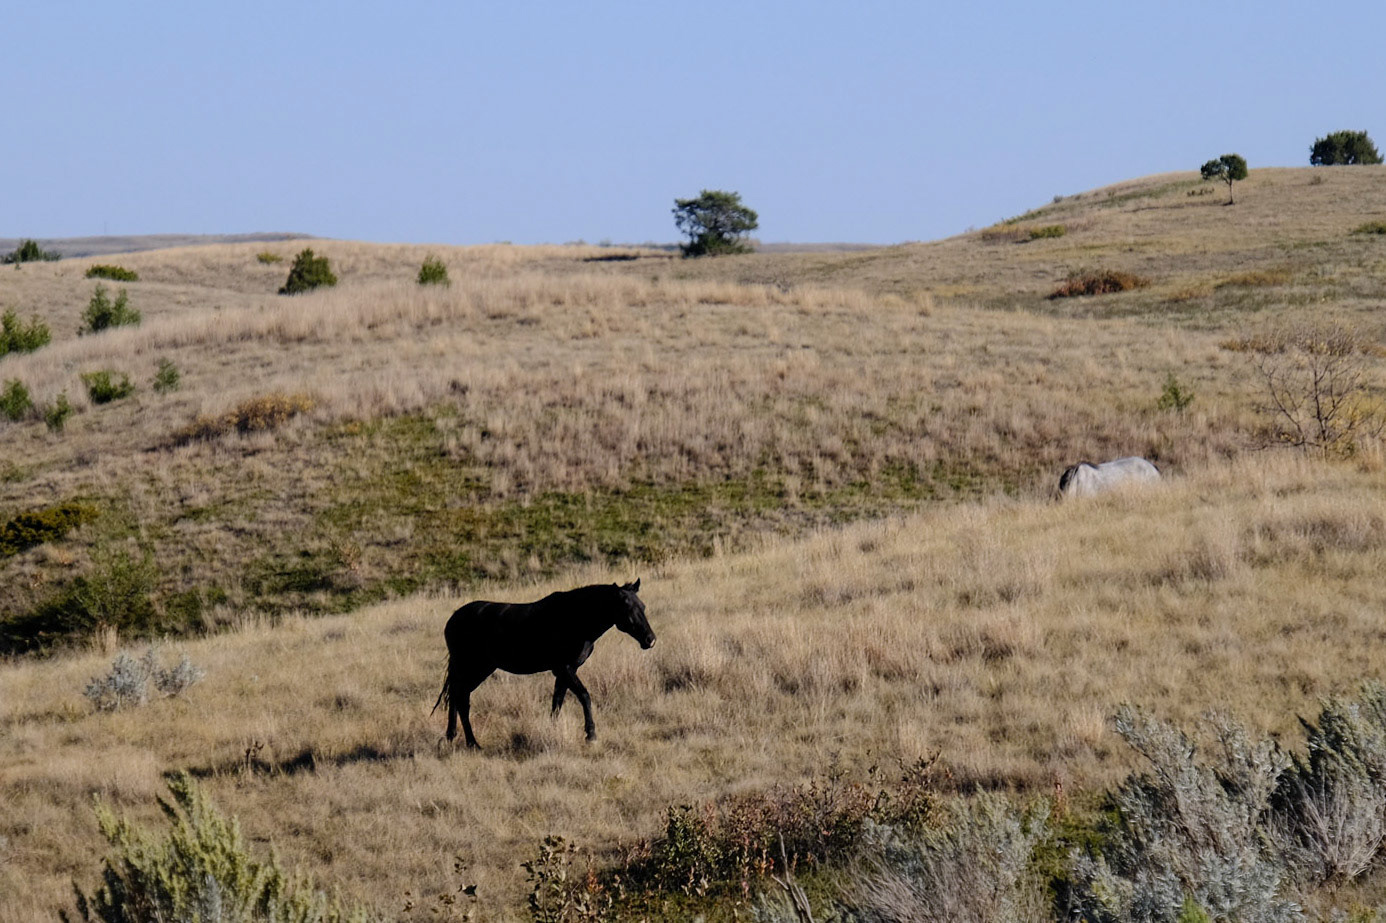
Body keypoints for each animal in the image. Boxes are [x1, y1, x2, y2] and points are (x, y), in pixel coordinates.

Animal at [432, 579, 654, 748]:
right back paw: (472, 743)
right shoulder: (564, 668)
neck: (575, 619)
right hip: (473, 668)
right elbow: (584, 696)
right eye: (627, 608)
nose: (650, 640)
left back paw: (452, 737)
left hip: (476, 669)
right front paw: (591, 734)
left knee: (457, 697)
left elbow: (557, 701)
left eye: (643, 606)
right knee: (461, 699)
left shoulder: (566, 671)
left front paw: (552, 730)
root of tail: (452, 620)